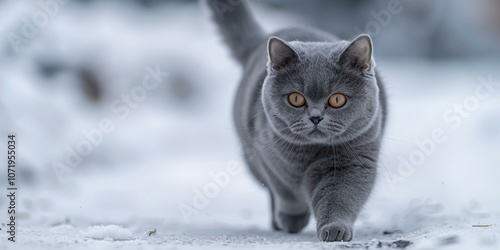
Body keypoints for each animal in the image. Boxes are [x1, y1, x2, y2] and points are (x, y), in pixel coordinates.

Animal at [205, 0, 388, 242]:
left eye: (337, 99)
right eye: (296, 98)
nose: (315, 117)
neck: (309, 154)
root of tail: (260, 40)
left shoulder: (354, 160)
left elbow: (340, 196)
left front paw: (335, 230)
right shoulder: (265, 155)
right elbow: (285, 192)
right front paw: (293, 218)